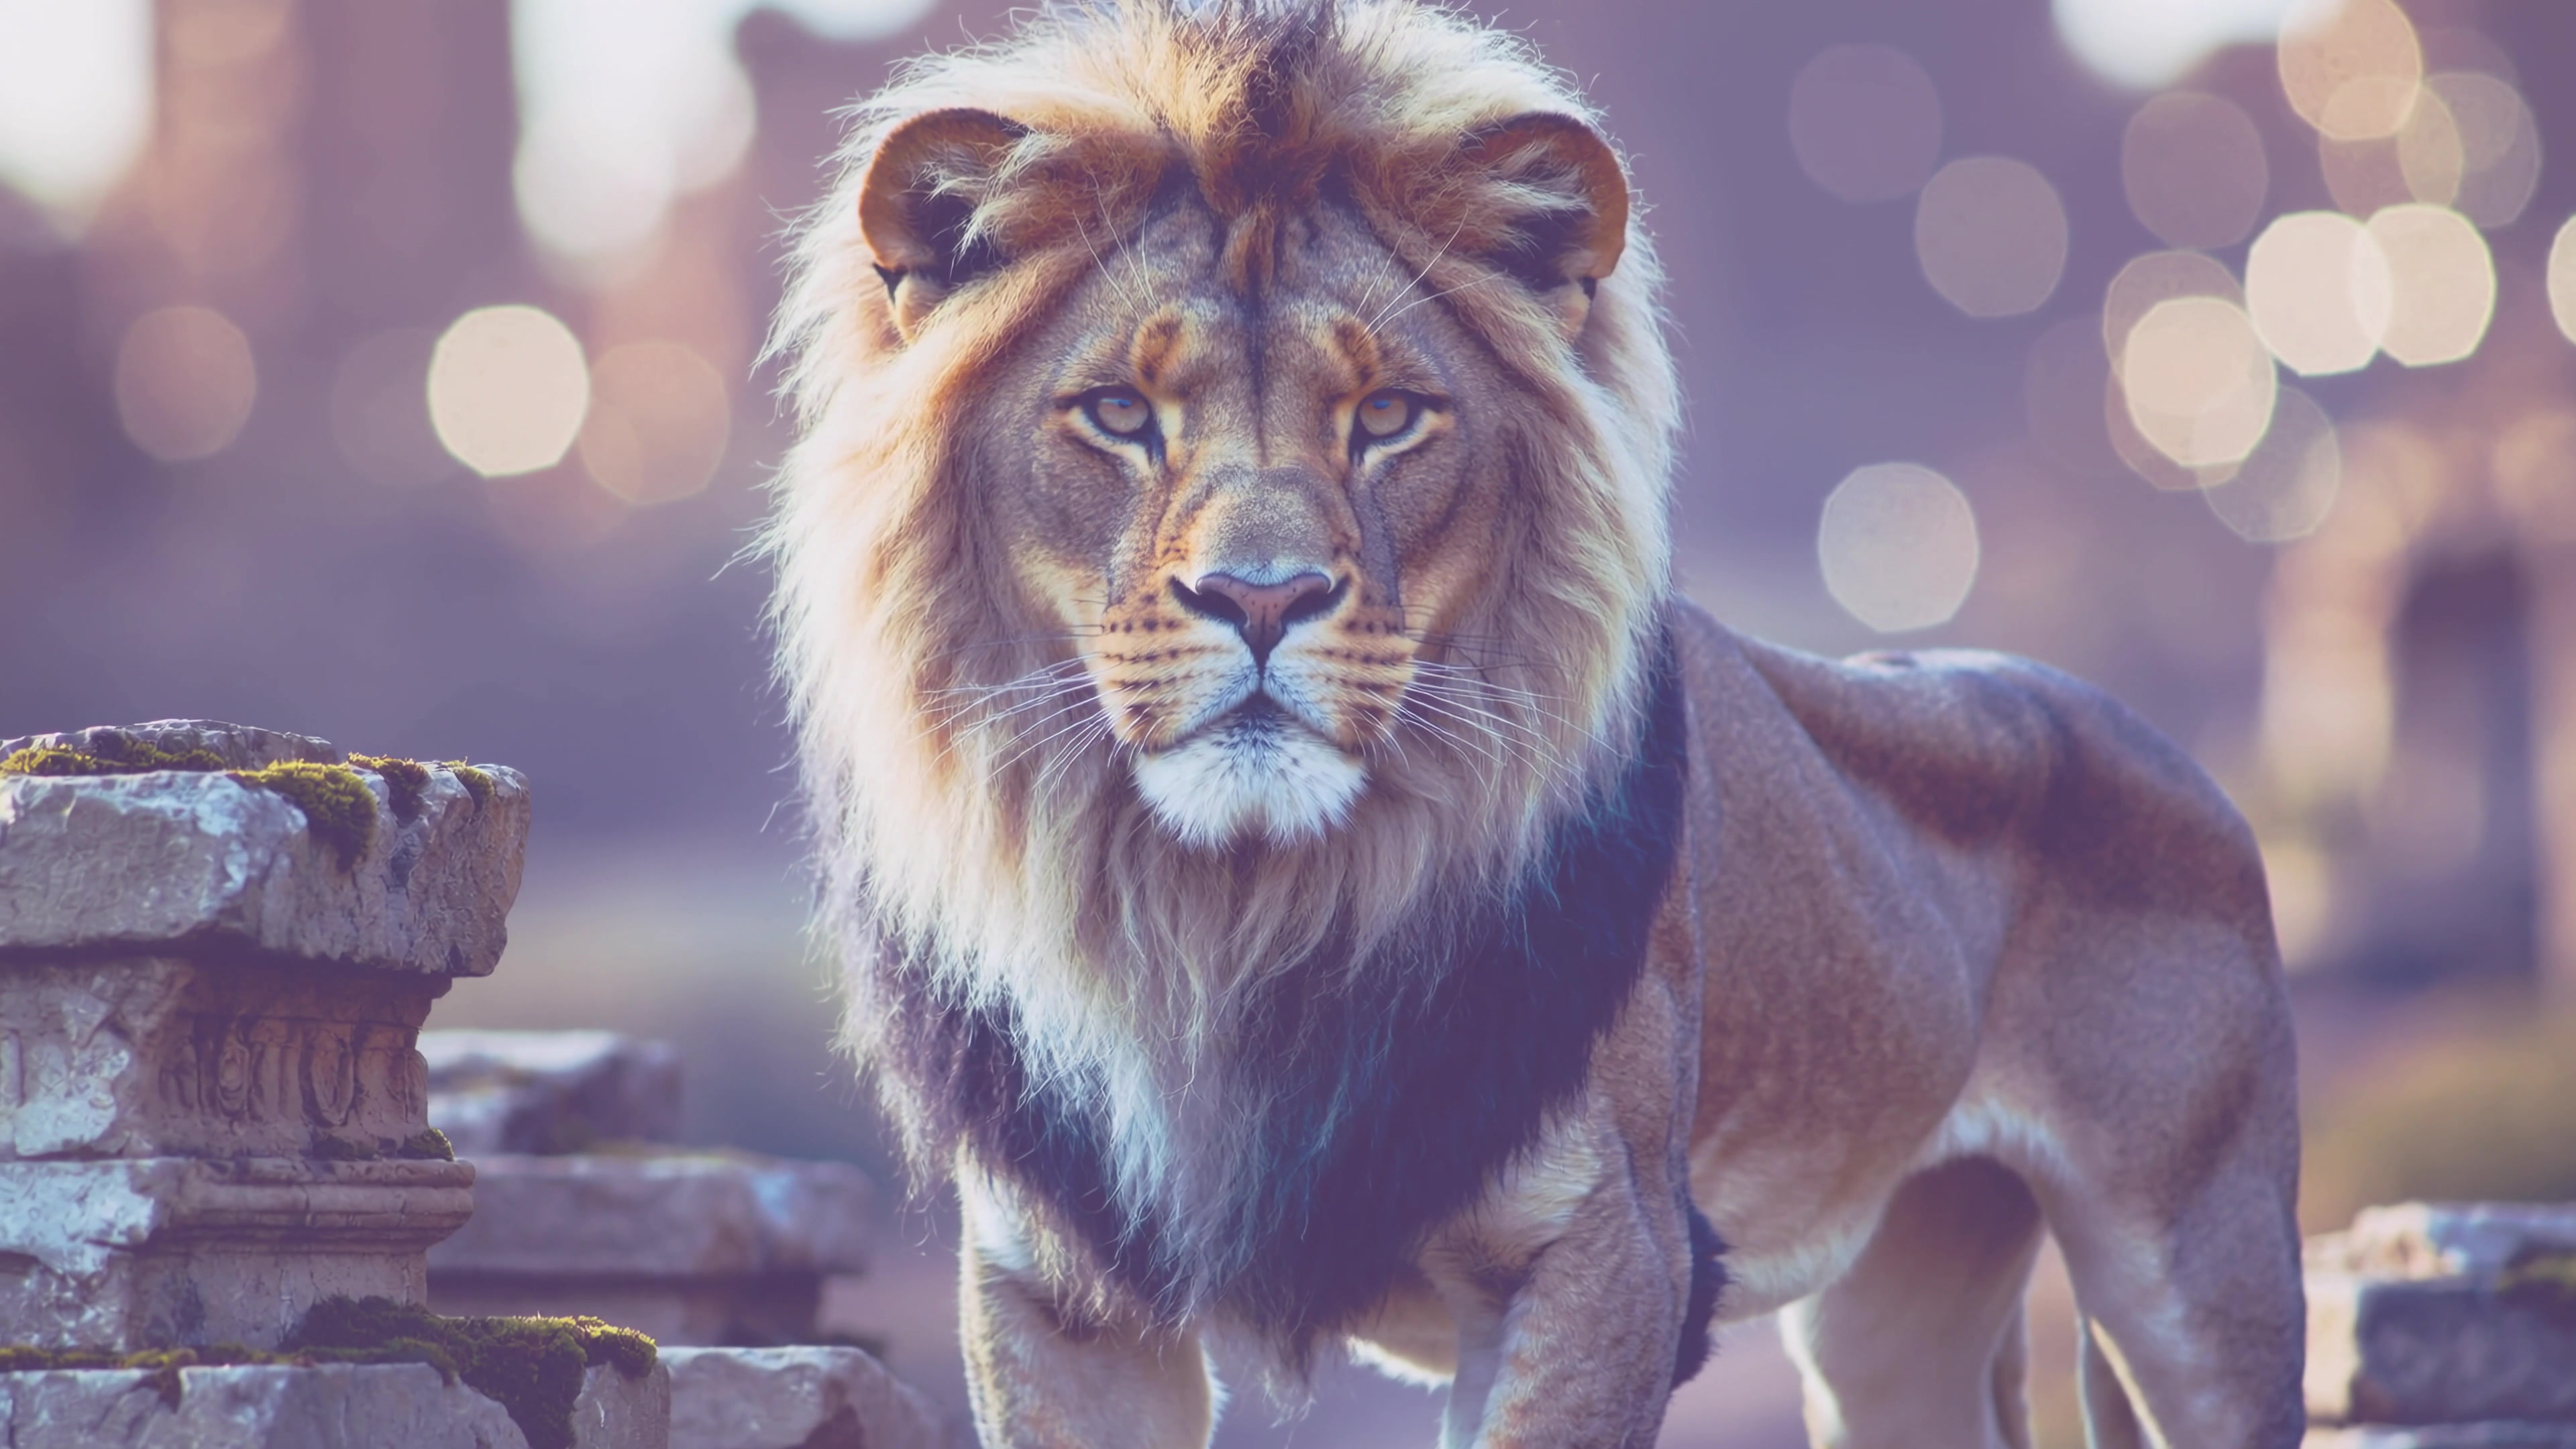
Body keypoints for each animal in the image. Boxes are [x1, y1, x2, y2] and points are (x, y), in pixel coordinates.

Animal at [763, 3, 2307, 1445]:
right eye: (1118, 416)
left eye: (1389, 416)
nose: (1262, 599)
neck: (1233, 916)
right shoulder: (1055, 1295)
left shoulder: (1600, 1252)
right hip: (1899, 1318)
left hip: (2201, 1273)